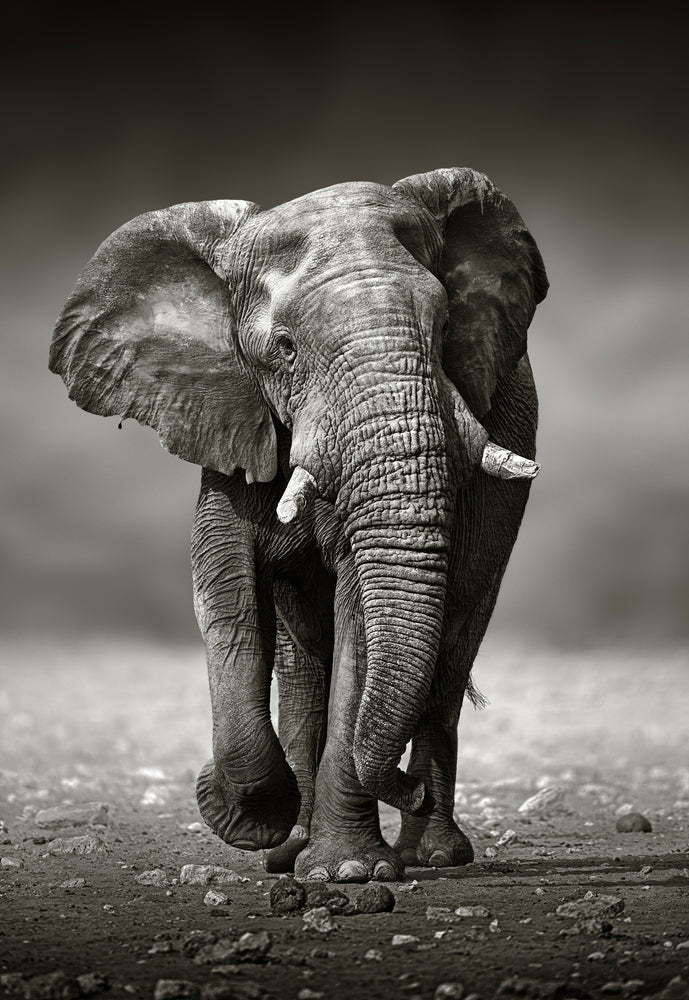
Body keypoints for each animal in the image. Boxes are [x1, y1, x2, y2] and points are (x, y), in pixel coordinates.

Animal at [49, 167, 548, 882]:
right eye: (283, 349)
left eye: (446, 324)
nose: (404, 789)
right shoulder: (230, 415)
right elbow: (225, 589)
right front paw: (254, 818)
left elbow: (358, 612)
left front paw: (350, 873)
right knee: (304, 665)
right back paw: (293, 849)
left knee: (451, 645)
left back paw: (430, 854)